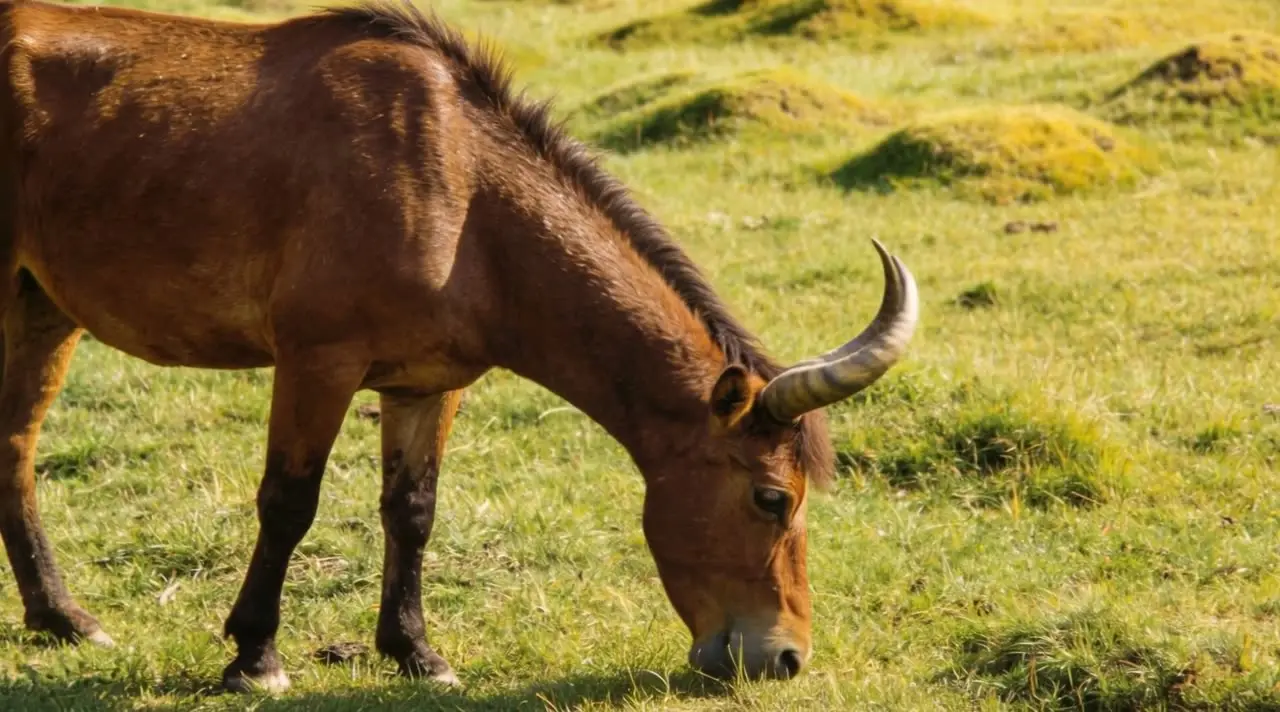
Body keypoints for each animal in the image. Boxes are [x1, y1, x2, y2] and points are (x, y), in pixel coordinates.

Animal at [0, 0, 918, 691]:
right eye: (771, 498)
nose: (786, 657)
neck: (462, 190)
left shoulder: (429, 382)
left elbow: (412, 511)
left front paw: (415, 651)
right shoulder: (316, 363)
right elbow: (289, 504)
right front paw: (254, 657)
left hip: (41, 307)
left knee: (14, 448)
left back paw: (61, 617)